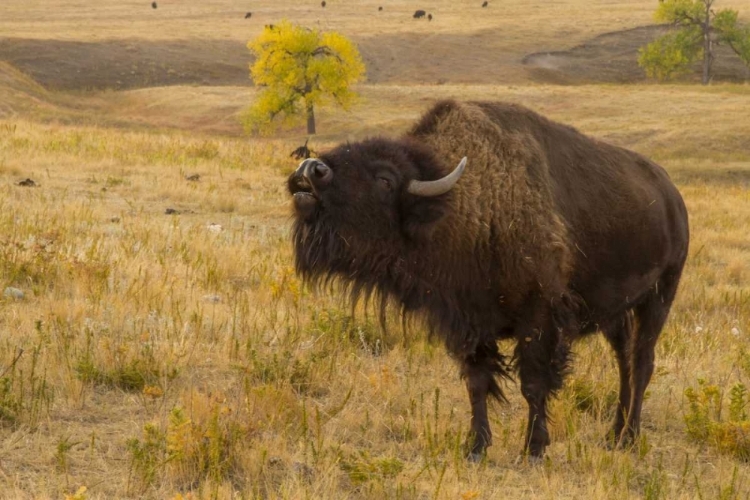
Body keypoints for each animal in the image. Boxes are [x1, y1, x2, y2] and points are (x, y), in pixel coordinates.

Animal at [288, 98, 692, 460]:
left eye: (385, 179)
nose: (310, 171)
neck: (466, 205)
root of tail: (672, 196)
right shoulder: (469, 323)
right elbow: (477, 384)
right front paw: (476, 447)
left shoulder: (539, 318)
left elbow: (533, 384)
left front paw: (533, 449)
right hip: (616, 313)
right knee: (624, 361)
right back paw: (613, 434)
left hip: (660, 296)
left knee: (642, 362)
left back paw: (630, 438)